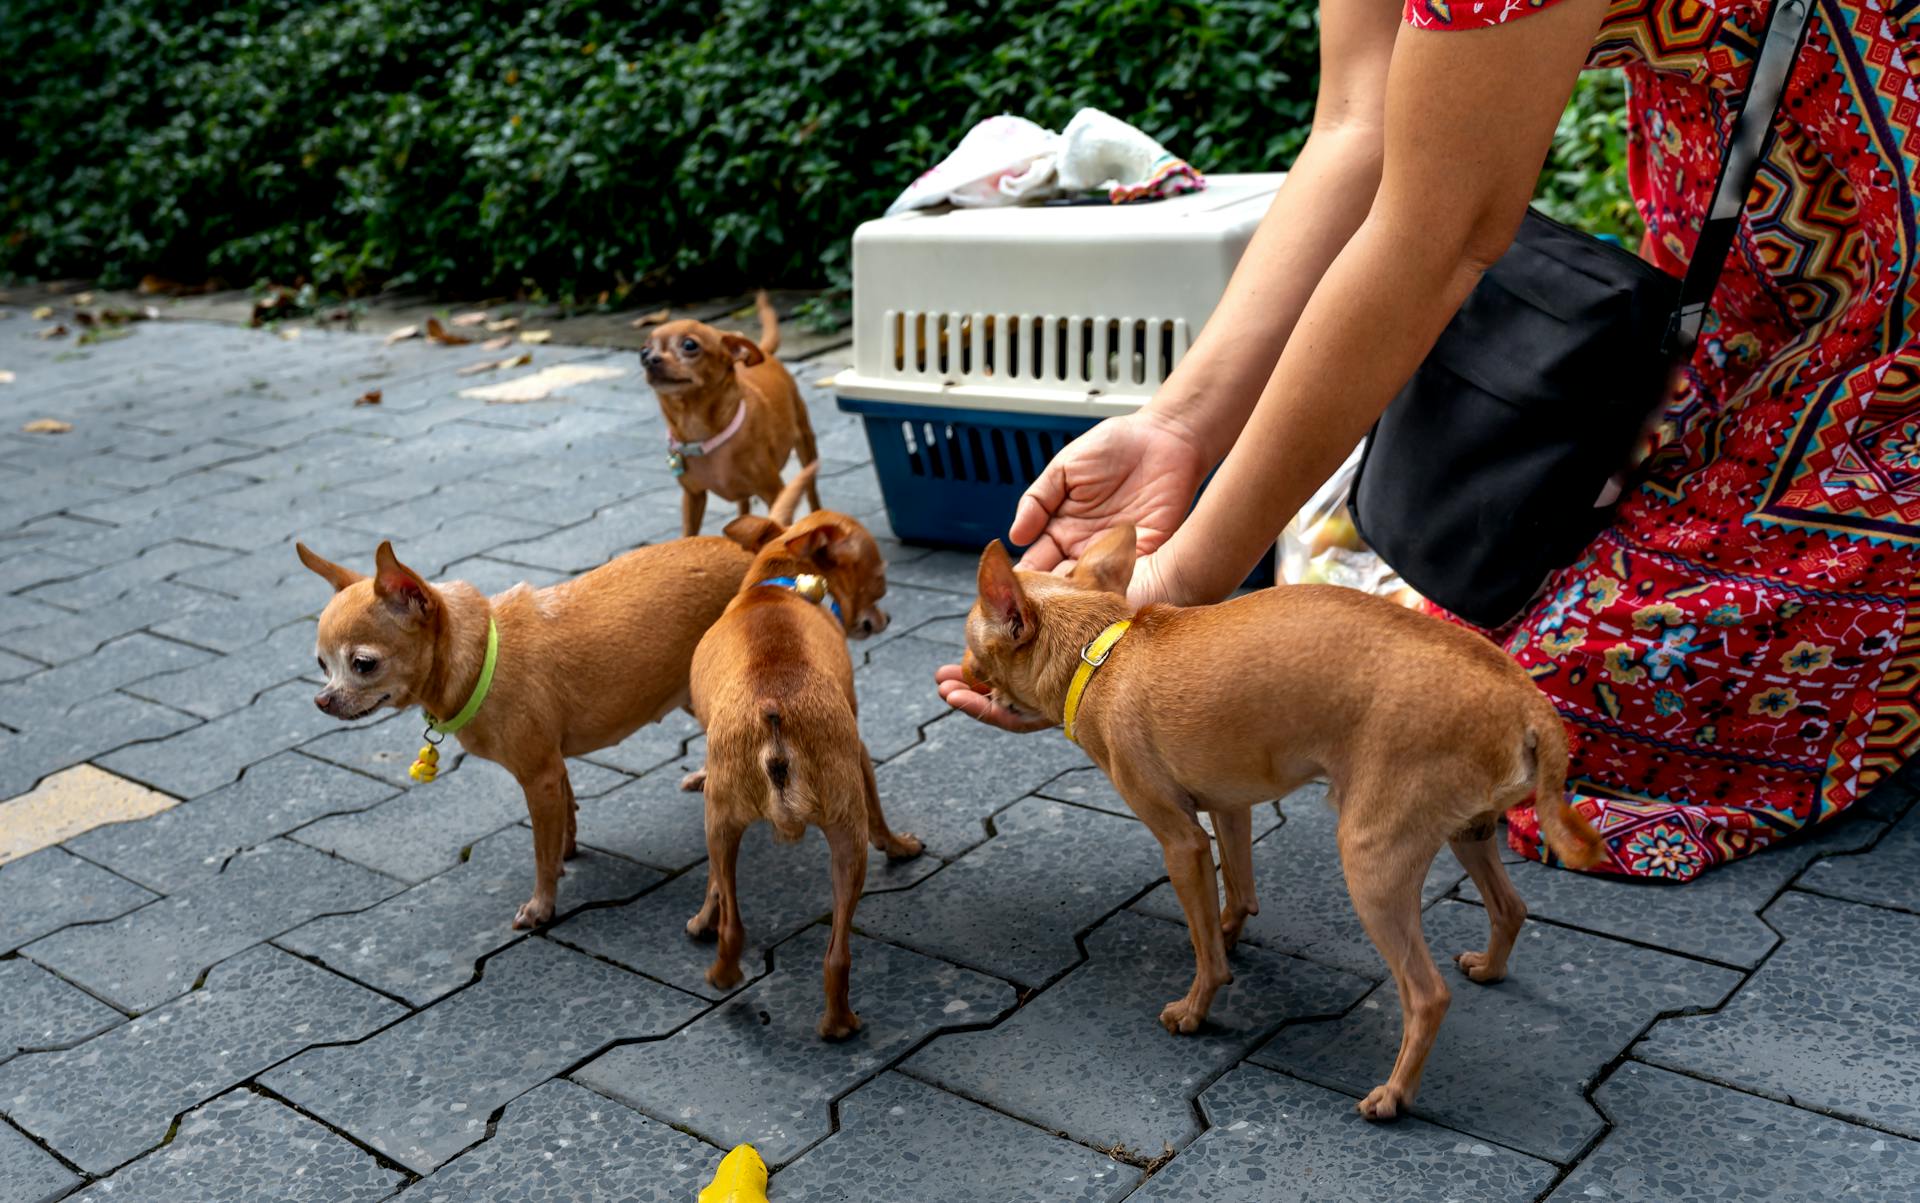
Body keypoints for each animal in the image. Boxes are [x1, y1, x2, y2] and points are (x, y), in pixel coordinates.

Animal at [295, 533, 752, 932]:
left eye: (363, 664)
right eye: (321, 664)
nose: (321, 700)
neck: (483, 658)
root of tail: (756, 549)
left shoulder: (539, 777)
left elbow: (540, 852)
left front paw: (541, 906)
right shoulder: (555, 768)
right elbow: (565, 815)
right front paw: (567, 849)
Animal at [648, 291, 821, 537]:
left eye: (689, 344)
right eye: (644, 350)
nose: (649, 359)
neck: (702, 434)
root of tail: (764, 351)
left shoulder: (774, 492)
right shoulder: (693, 496)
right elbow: (688, 533)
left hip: (806, 447)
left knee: (812, 493)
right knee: (743, 507)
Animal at [687, 460, 925, 1036]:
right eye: (880, 579)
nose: (884, 620)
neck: (778, 588)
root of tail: (773, 709)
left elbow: (713, 886)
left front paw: (702, 918)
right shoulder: (859, 746)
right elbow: (880, 811)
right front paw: (899, 846)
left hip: (724, 822)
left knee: (738, 925)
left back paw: (728, 976)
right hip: (840, 834)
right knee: (833, 952)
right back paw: (836, 1023)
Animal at [960, 533, 1605, 1128]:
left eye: (970, 649)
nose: (964, 673)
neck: (1100, 651)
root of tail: (1526, 699)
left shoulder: (1182, 843)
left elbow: (1205, 951)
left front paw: (1195, 1008)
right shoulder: (1231, 808)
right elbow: (1237, 893)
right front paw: (1228, 932)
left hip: (1372, 863)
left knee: (1426, 994)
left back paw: (1394, 1095)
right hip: (1468, 832)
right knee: (1510, 908)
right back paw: (1490, 969)